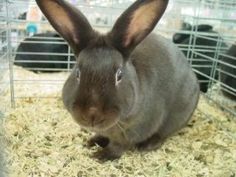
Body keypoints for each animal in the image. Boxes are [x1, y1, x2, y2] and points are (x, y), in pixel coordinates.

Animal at [36, 0, 199, 160]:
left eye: (119, 75)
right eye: (77, 73)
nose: (92, 114)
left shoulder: (132, 132)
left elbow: (118, 147)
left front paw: (101, 155)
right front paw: (93, 141)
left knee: (163, 134)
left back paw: (147, 146)